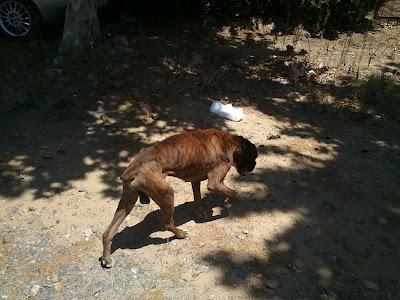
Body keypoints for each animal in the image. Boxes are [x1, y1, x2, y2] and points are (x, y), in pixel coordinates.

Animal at [99, 128, 256, 268]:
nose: (254, 166)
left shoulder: (196, 180)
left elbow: (198, 199)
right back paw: (180, 233)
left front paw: (200, 213)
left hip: (127, 202)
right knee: (168, 224)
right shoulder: (215, 183)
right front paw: (227, 204)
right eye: (253, 157)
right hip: (167, 194)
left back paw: (107, 258)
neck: (228, 141)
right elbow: (234, 192)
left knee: (107, 233)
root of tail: (133, 168)